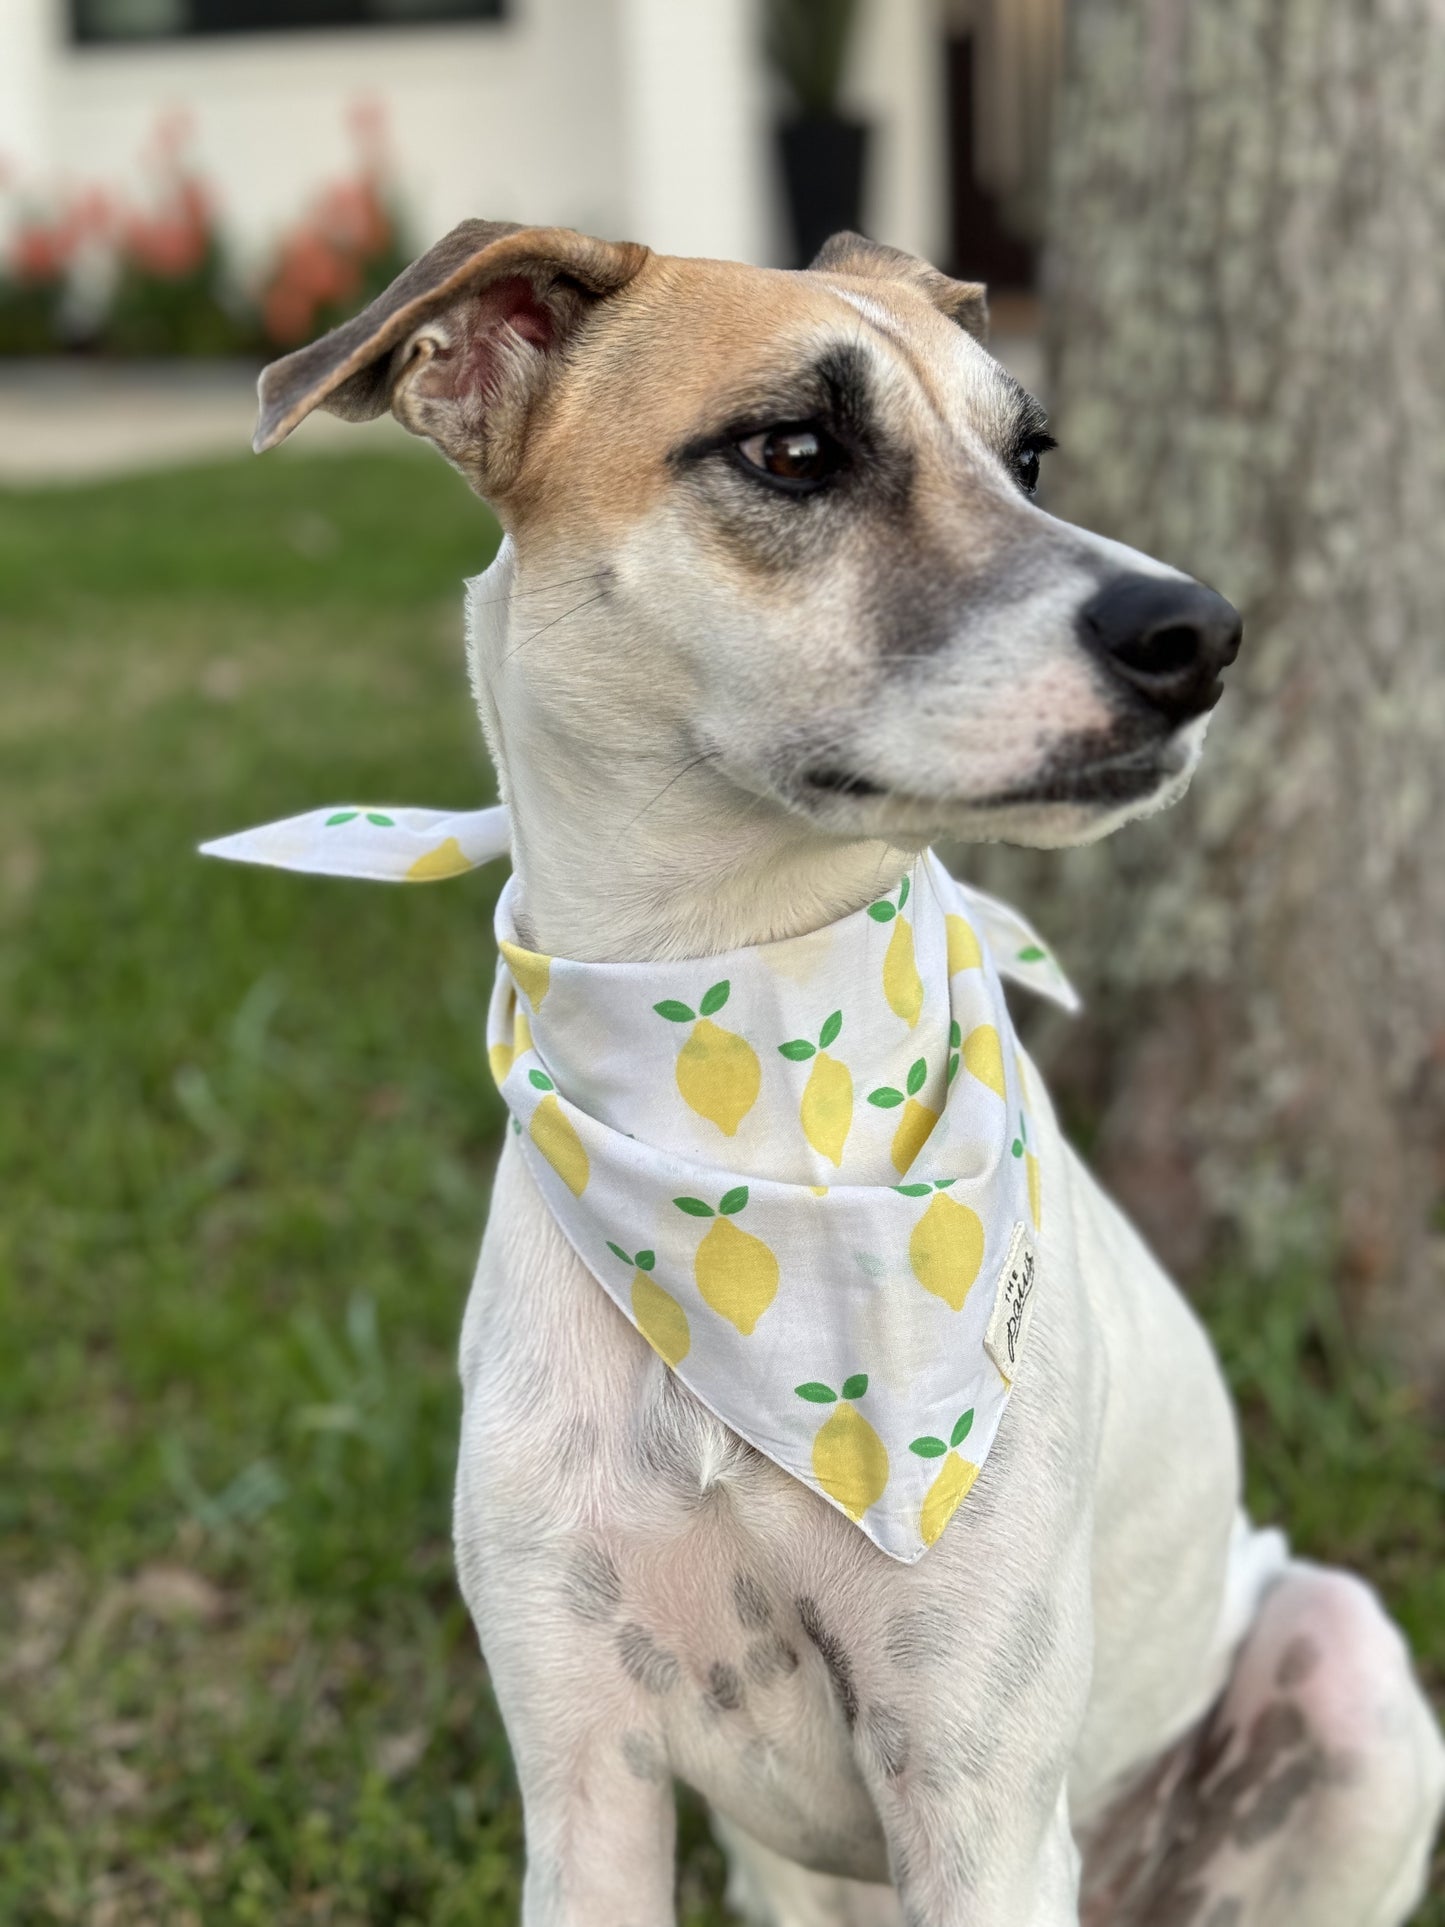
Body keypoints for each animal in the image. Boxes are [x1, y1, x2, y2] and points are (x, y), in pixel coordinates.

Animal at [243, 229, 1441, 1927]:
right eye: (794, 450)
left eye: (1027, 453)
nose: (1198, 634)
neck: (737, 1084)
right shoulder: (584, 1769)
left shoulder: (976, 1793)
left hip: (1340, 1674)